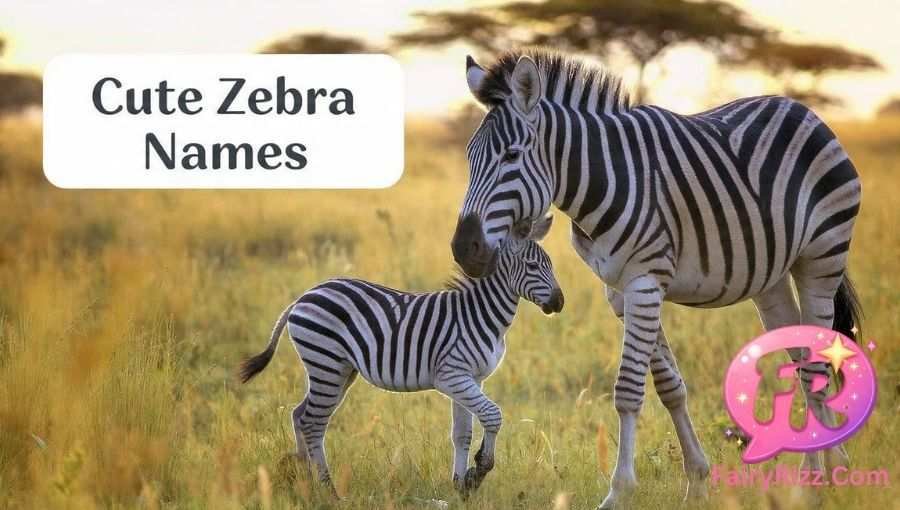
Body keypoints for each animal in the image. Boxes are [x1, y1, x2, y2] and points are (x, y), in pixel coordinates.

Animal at [238, 216, 563, 495]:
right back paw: (329, 490)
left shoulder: (472, 378)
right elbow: (493, 416)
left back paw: (305, 479)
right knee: (312, 422)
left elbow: (462, 434)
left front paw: (459, 486)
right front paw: (478, 472)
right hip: (325, 363)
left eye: (550, 264)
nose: (560, 302)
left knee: (300, 415)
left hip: (338, 370)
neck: (482, 314)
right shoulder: (451, 376)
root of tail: (303, 296)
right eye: (532, 265)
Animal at [450, 49, 863, 509]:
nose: (463, 249)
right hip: (770, 278)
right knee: (801, 357)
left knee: (816, 365)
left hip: (821, 257)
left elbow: (628, 390)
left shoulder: (645, 282)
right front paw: (697, 479)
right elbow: (670, 386)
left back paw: (822, 477)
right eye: (469, 157)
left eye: (511, 156)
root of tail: (800, 108)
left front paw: (618, 491)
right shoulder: (618, 292)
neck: (600, 182)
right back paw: (823, 471)